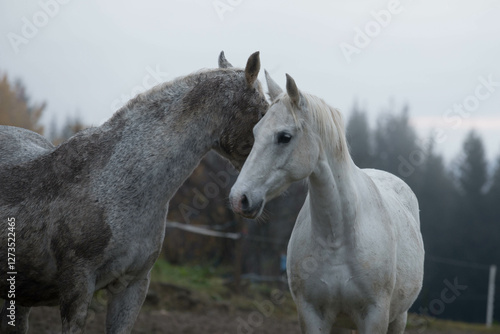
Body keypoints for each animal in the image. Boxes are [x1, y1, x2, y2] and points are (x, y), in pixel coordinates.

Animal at [229, 73, 424, 334]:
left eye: (284, 137)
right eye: (256, 132)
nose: (239, 198)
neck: (337, 238)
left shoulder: (375, 317)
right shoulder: (312, 314)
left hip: (398, 317)